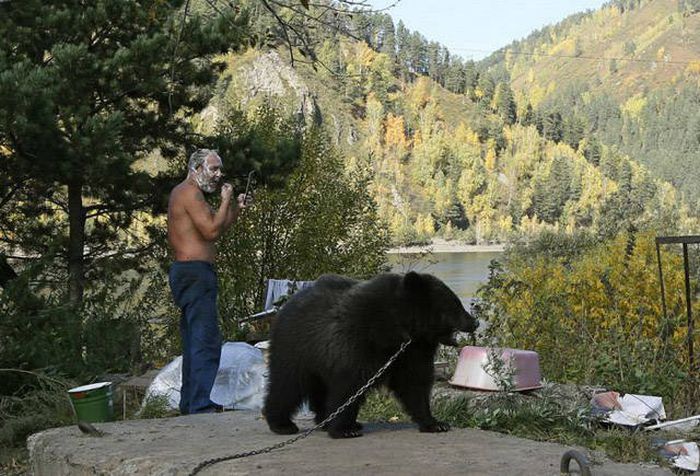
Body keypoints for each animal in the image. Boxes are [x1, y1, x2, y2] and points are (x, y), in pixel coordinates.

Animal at [266, 272, 478, 438]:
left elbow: (415, 382)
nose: (474, 322)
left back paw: (324, 420)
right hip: (296, 347)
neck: (399, 328)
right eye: (455, 304)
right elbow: (349, 384)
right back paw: (282, 424)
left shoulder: (412, 351)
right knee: (287, 384)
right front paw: (344, 429)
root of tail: (286, 304)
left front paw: (435, 423)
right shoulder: (359, 340)